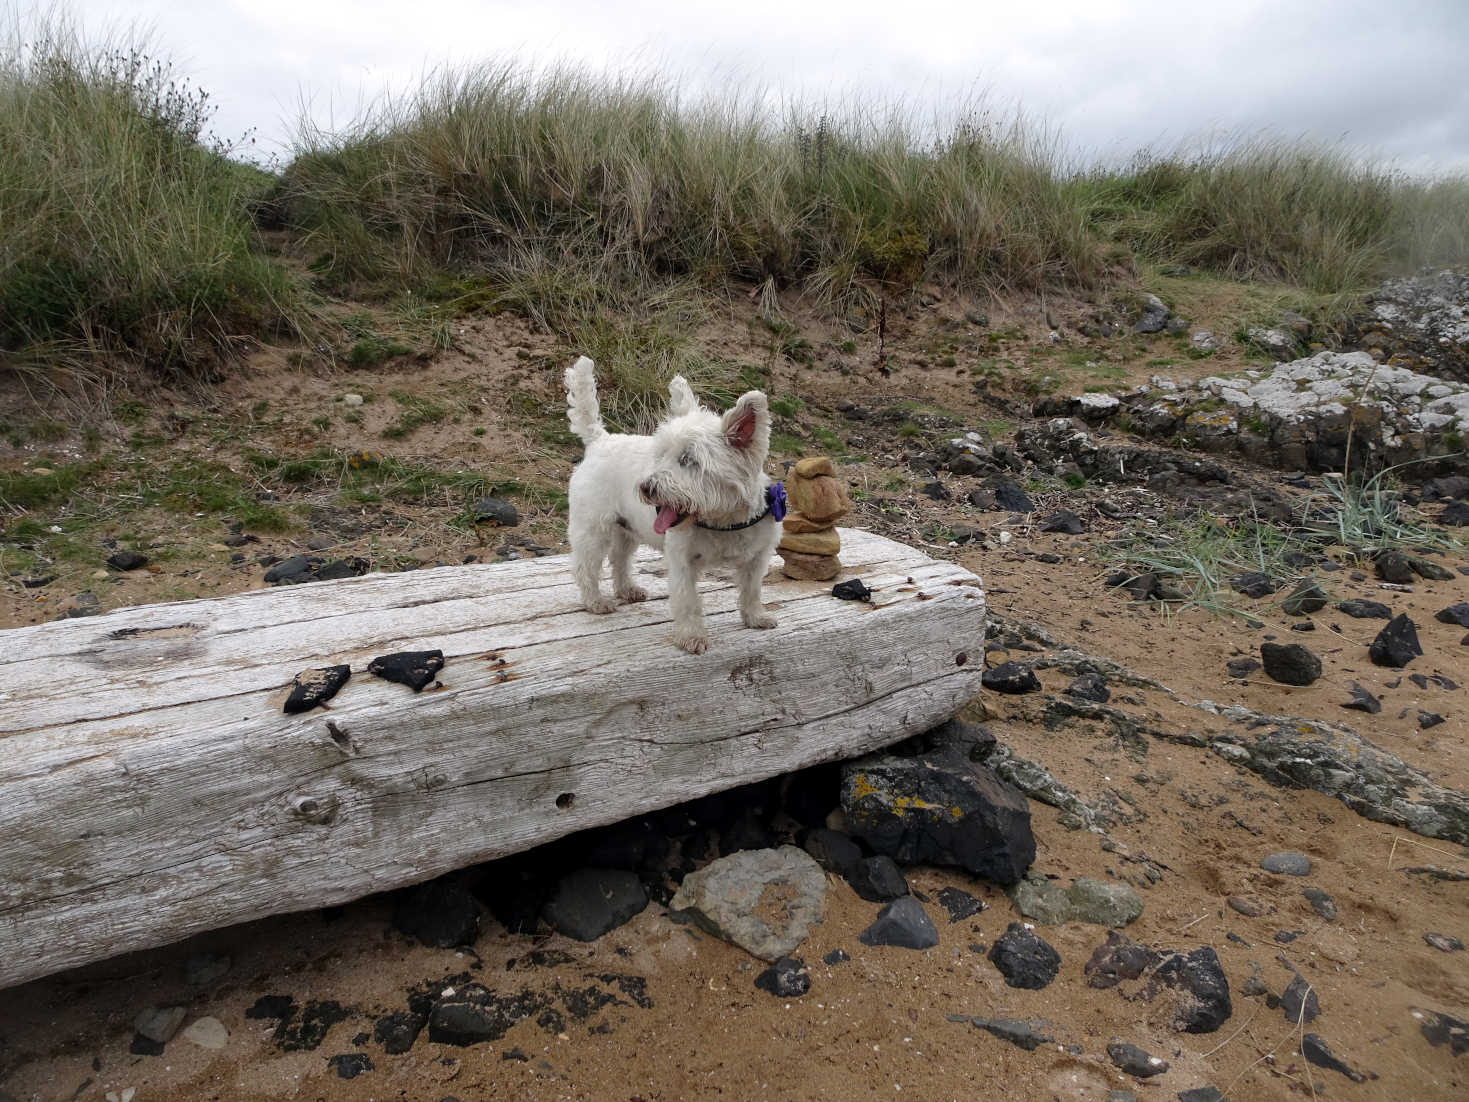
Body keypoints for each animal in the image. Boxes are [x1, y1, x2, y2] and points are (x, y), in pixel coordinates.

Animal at [564, 355, 793, 655]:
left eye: (688, 460)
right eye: (660, 454)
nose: (646, 487)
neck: (723, 520)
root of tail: (600, 439)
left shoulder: (757, 557)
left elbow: (752, 590)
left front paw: (755, 617)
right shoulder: (682, 560)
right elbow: (688, 601)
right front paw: (691, 636)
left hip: (627, 529)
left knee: (620, 559)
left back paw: (627, 590)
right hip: (593, 529)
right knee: (586, 567)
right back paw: (596, 601)